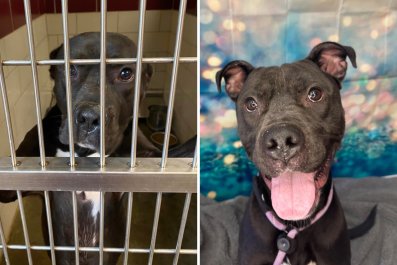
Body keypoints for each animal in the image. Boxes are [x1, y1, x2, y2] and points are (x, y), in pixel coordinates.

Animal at [0, 32, 195, 264]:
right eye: (70, 70)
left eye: (126, 73)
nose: (89, 117)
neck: (85, 153)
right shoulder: (16, 179)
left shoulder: (158, 164)